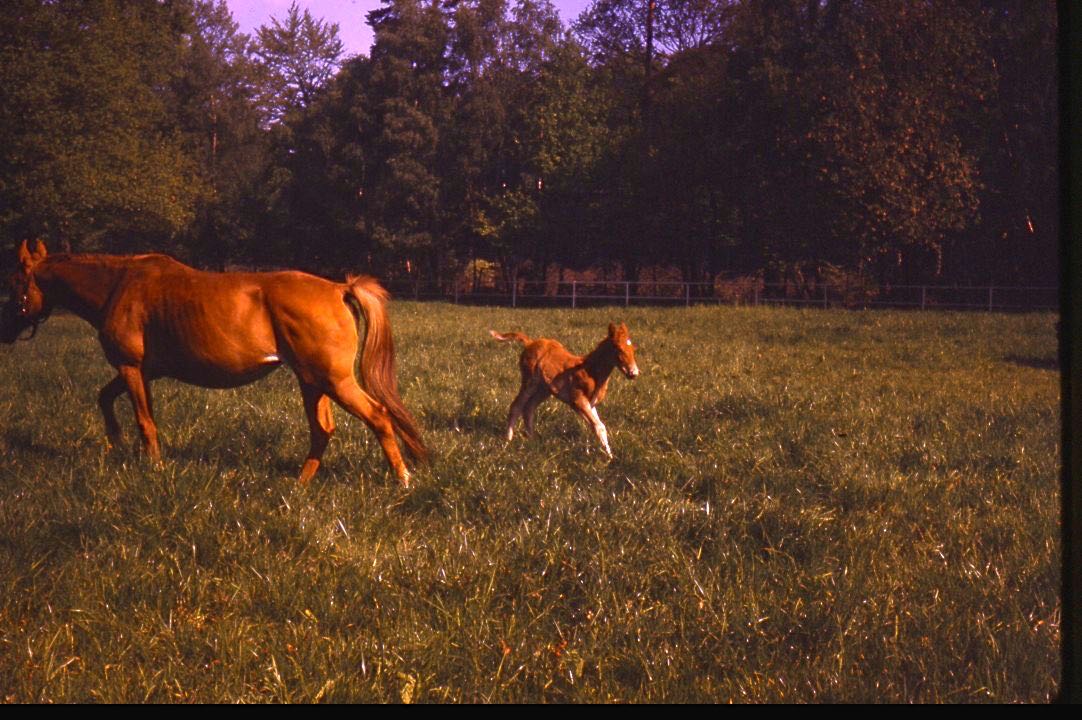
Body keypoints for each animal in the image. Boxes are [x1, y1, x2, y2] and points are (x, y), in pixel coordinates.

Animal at [493, 324, 636, 456]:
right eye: (618, 348)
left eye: (634, 349)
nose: (633, 373)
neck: (590, 370)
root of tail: (529, 343)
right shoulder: (578, 400)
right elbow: (598, 426)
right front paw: (608, 458)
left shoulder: (590, 403)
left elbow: (599, 426)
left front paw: (609, 456)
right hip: (529, 382)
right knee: (516, 406)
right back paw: (508, 441)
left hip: (544, 389)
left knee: (528, 408)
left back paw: (532, 441)